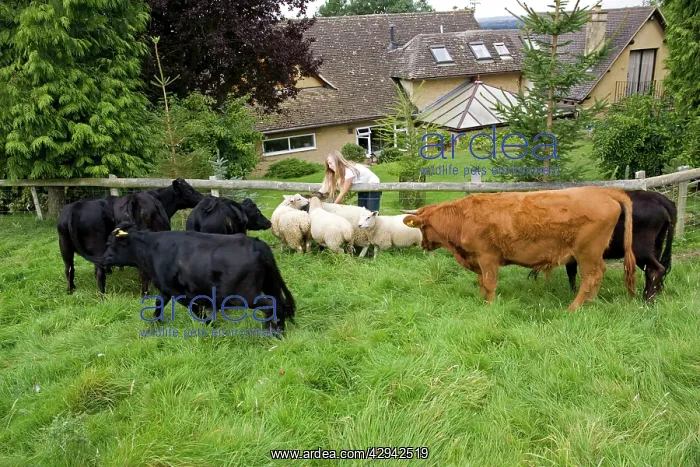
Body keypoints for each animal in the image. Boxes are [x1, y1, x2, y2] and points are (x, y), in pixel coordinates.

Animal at [57, 178, 203, 295]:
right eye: (189, 190)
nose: (201, 198)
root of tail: (75, 207)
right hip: (96, 245)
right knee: (101, 272)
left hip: (64, 246)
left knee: (69, 268)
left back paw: (71, 290)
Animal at [102, 222, 296, 334]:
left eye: (110, 244)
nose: (102, 259)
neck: (152, 248)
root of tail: (256, 243)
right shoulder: (166, 289)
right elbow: (158, 306)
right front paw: (152, 328)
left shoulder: (180, 293)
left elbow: (196, 311)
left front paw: (211, 325)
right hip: (269, 284)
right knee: (281, 303)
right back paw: (279, 329)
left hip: (243, 295)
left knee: (271, 306)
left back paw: (272, 331)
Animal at [402, 187, 637, 310]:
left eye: (422, 227)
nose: (422, 245)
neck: (463, 219)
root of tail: (602, 191)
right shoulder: (478, 259)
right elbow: (481, 282)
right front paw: (481, 300)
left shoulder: (487, 257)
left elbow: (489, 283)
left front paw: (490, 305)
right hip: (593, 254)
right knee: (599, 274)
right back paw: (590, 302)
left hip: (587, 253)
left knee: (591, 277)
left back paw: (574, 307)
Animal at [528, 190, 676, 303]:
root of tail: (659, 197)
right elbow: (571, 272)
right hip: (657, 245)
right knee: (651, 272)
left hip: (640, 250)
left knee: (656, 269)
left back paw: (647, 301)